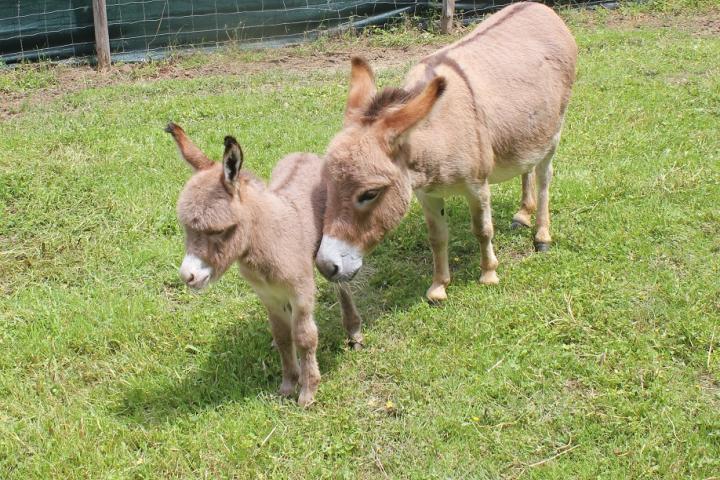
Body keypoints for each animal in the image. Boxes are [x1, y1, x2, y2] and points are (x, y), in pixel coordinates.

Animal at [166, 124, 362, 404]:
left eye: (219, 230)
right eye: (186, 228)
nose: (187, 276)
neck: (265, 241)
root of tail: (304, 154)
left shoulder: (301, 292)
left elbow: (304, 337)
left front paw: (308, 391)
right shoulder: (268, 296)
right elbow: (282, 336)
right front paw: (289, 383)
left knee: (341, 283)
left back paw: (353, 332)